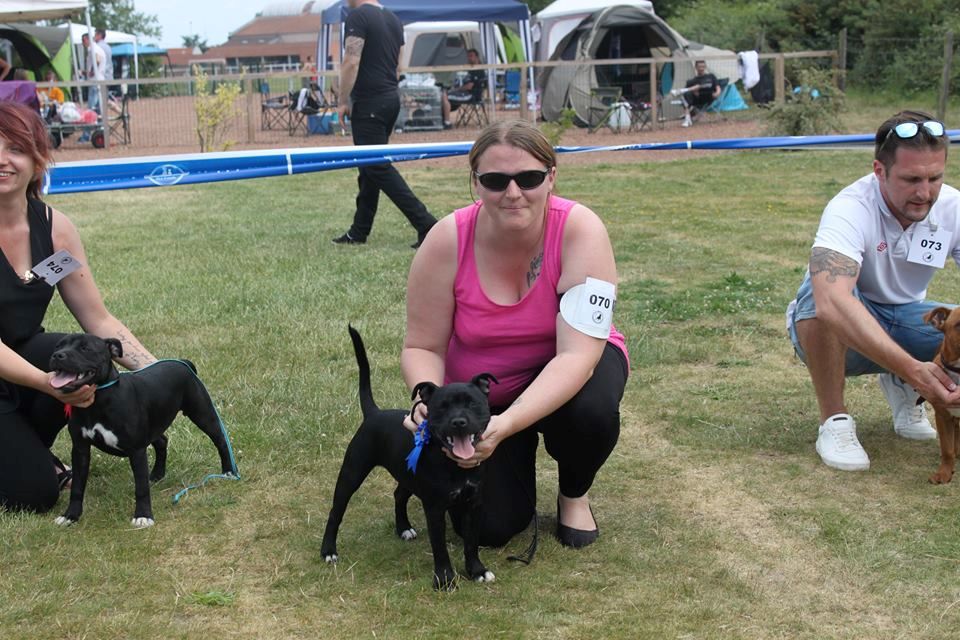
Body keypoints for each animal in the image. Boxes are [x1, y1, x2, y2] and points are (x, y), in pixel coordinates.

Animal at [49, 332, 237, 528]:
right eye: (58, 346)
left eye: (85, 348)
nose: (57, 355)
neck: (98, 400)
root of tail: (181, 362)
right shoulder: (80, 449)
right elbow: (77, 486)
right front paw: (70, 515)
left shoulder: (136, 450)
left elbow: (141, 487)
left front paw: (143, 515)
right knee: (162, 441)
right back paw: (156, 474)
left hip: (202, 413)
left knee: (220, 440)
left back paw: (229, 471)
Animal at [322, 328, 498, 592]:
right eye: (441, 407)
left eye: (473, 404)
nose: (459, 422)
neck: (454, 464)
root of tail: (374, 413)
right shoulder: (435, 508)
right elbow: (440, 547)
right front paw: (445, 579)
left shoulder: (473, 504)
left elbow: (471, 542)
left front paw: (477, 571)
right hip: (351, 473)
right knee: (336, 511)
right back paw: (328, 550)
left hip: (407, 474)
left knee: (398, 495)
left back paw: (403, 528)